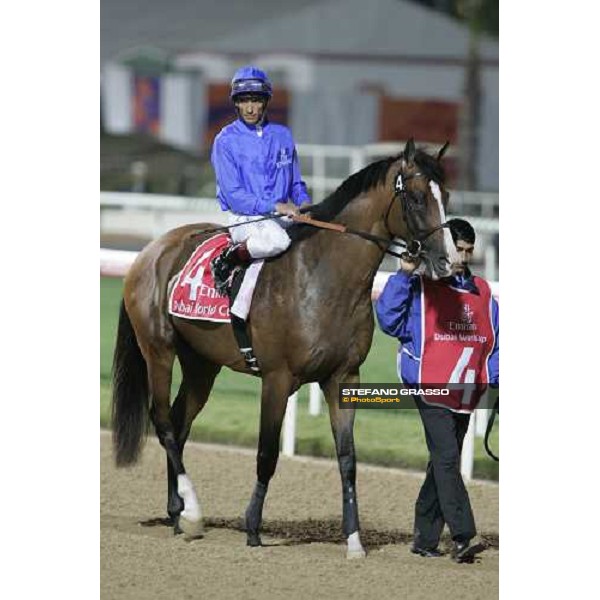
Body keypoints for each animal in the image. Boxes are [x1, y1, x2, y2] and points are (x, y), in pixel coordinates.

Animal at [110, 137, 454, 556]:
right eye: (417, 198)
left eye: (446, 195)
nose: (448, 261)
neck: (322, 279)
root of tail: (150, 251)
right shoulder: (277, 379)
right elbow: (267, 454)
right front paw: (253, 528)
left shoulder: (343, 378)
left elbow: (348, 459)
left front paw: (354, 540)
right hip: (158, 350)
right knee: (163, 423)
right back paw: (191, 513)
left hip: (201, 364)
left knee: (179, 422)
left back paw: (177, 511)